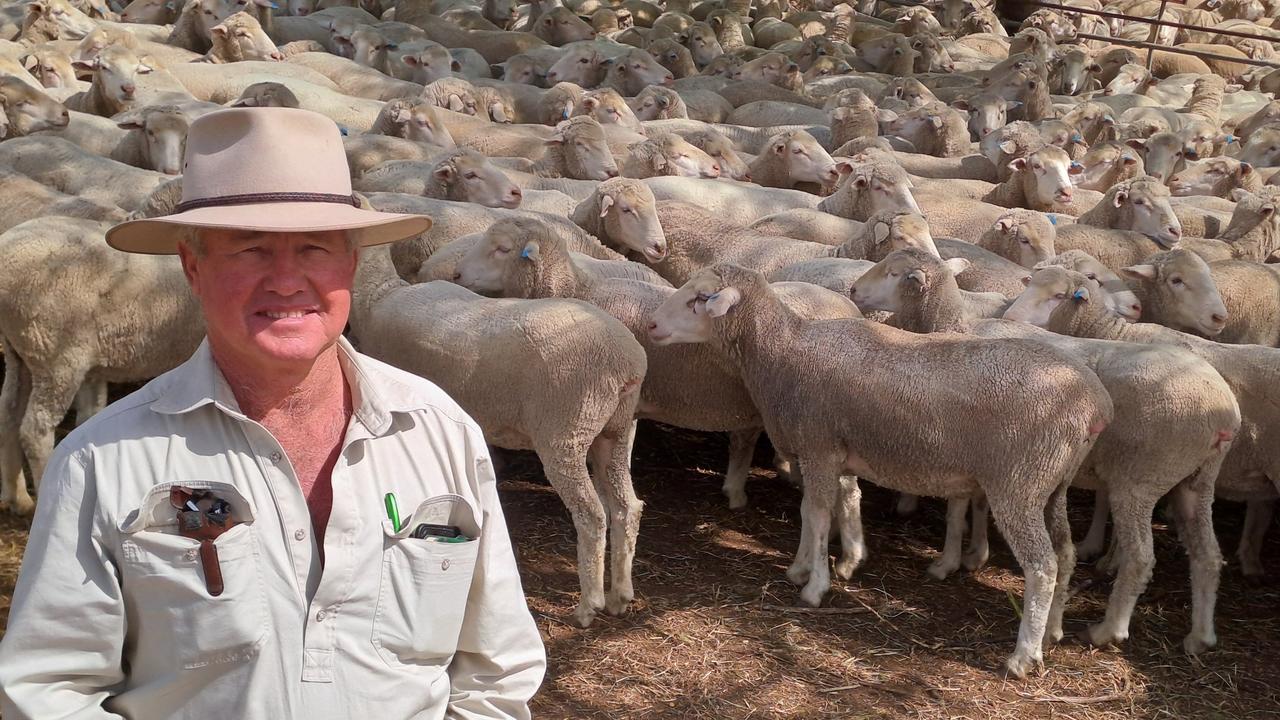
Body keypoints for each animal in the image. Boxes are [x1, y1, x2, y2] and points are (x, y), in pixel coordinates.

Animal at [350, 240, 645, 622]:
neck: (377, 295)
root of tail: (627, 363)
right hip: (618, 430)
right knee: (627, 507)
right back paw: (620, 595)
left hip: (567, 429)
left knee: (592, 516)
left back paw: (588, 606)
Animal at [650, 260, 1111, 676]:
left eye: (699, 299)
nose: (652, 326)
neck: (783, 353)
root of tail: (1094, 404)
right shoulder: (830, 452)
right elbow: (818, 509)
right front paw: (806, 567)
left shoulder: (819, 445)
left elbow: (817, 515)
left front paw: (814, 587)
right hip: (1052, 484)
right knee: (1065, 554)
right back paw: (1053, 633)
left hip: (1019, 483)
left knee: (1042, 566)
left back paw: (1024, 655)